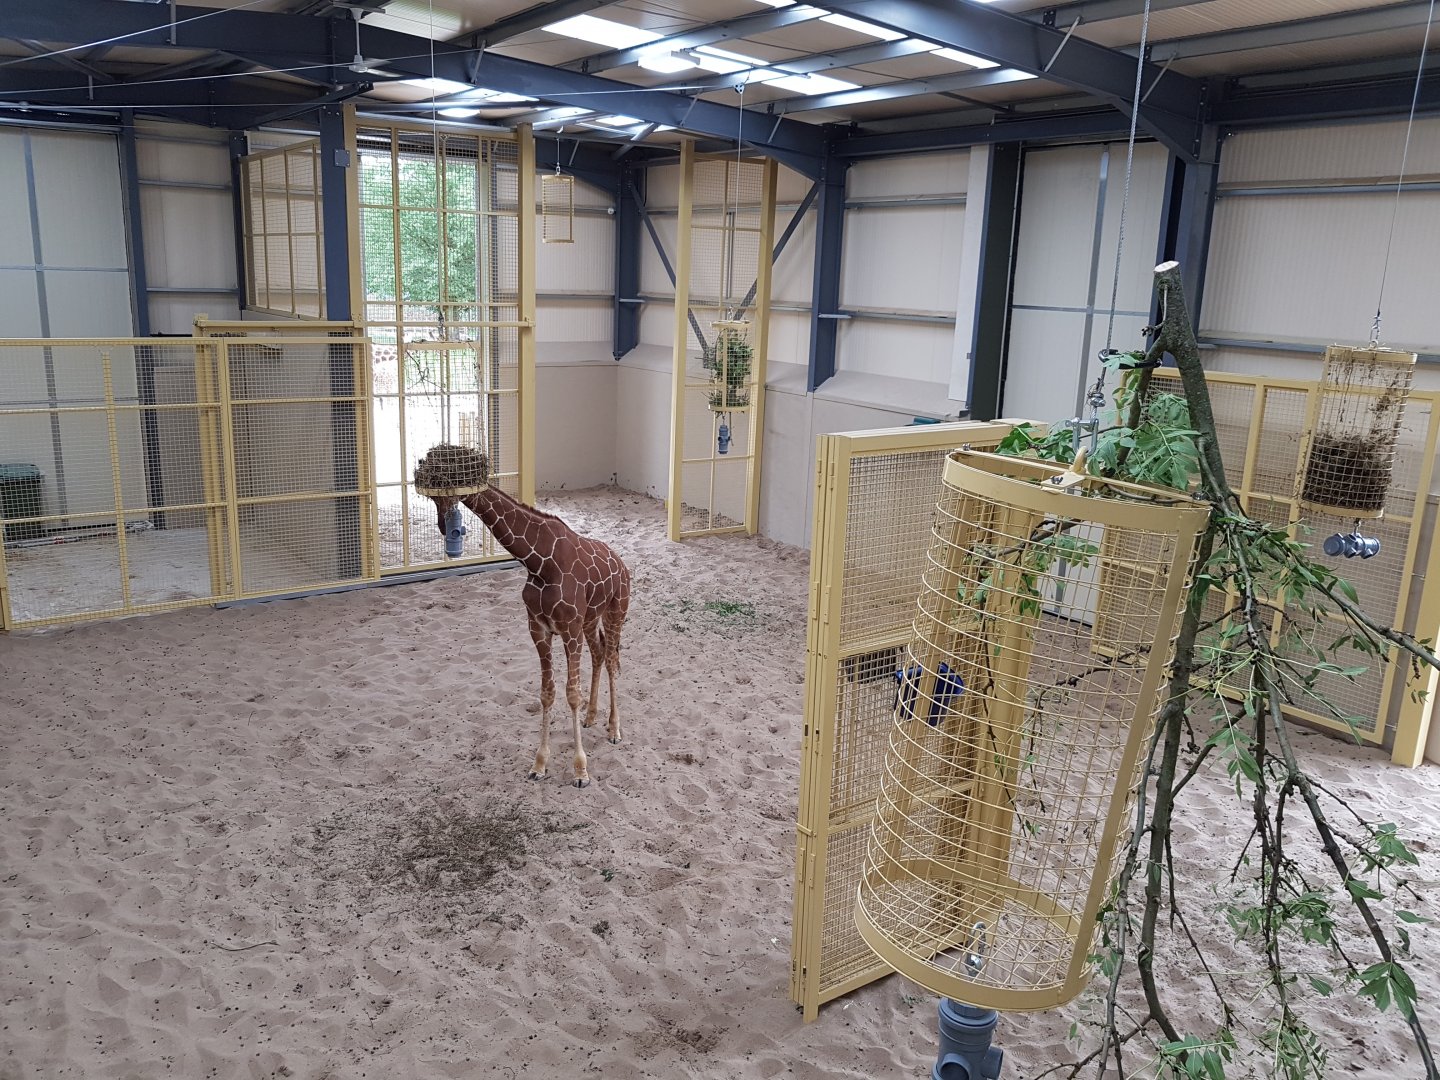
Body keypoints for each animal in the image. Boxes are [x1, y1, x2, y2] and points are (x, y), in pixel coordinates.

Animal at [416, 450, 631, 789]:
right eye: (433, 495)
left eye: (448, 489)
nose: (443, 527)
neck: (539, 563)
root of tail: (621, 564)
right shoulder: (539, 629)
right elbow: (547, 693)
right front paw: (539, 765)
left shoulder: (568, 629)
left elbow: (571, 694)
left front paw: (581, 771)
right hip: (590, 618)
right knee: (599, 654)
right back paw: (592, 717)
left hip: (615, 610)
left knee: (611, 659)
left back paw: (614, 730)